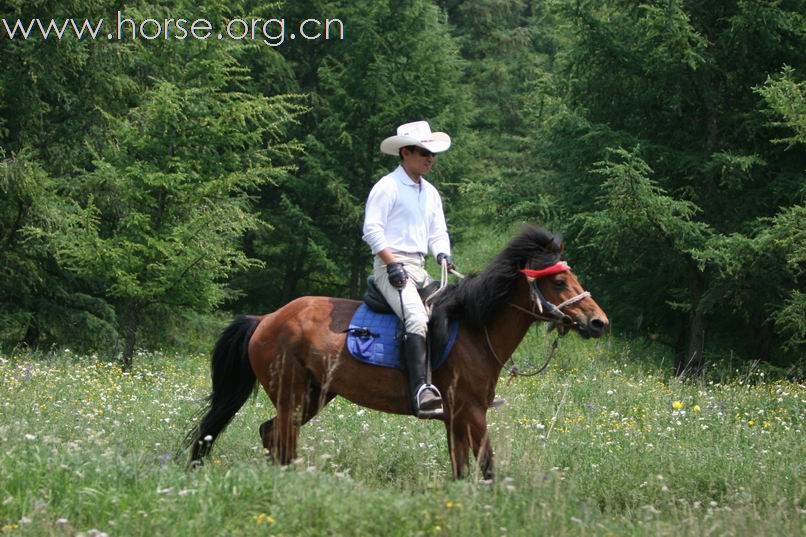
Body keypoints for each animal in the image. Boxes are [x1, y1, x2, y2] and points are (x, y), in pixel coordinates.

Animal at [183, 224, 608, 480]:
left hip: (313, 396)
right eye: (558, 282)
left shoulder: (457, 418)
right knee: (281, 436)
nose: (598, 322)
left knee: (272, 433)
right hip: (292, 394)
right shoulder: (471, 412)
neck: (475, 330)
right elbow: (487, 467)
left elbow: (462, 470)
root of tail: (266, 318)